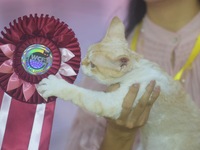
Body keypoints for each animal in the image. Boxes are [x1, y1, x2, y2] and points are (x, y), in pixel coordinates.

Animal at [37, 17, 200, 149]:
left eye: (93, 65)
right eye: (87, 54)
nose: (82, 62)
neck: (137, 68)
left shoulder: (112, 102)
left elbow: (80, 93)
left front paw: (55, 85)